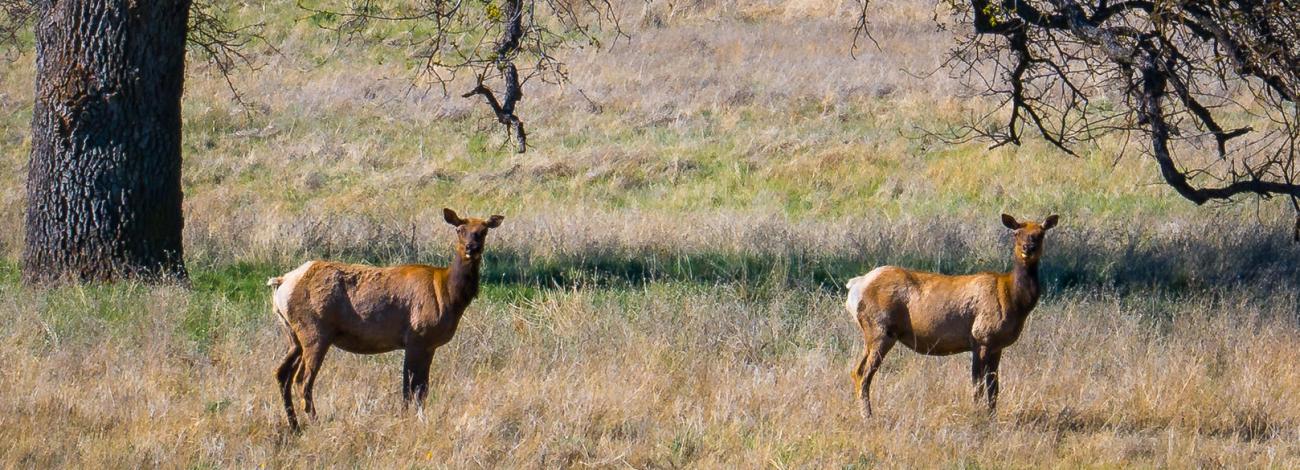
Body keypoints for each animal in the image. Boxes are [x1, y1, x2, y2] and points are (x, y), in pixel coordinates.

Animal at [266, 208, 503, 430]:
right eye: (459, 230)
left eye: (483, 231)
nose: (471, 248)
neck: (448, 294)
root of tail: (282, 282)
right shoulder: (417, 337)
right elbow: (411, 388)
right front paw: (410, 420)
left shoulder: (429, 345)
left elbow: (422, 388)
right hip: (315, 331)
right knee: (302, 380)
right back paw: (315, 422)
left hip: (293, 335)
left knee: (282, 374)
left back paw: (294, 426)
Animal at [844, 213, 1058, 418]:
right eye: (1016, 233)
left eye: (1040, 234)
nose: (1028, 248)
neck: (1015, 300)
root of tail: (855, 285)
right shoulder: (981, 338)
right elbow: (977, 386)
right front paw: (977, 417)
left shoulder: (997, 346)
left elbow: (994, 388)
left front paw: (992, 417)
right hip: (880, 330)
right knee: (863, 374)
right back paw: (868, 417)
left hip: (873, 335)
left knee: (855, 371)